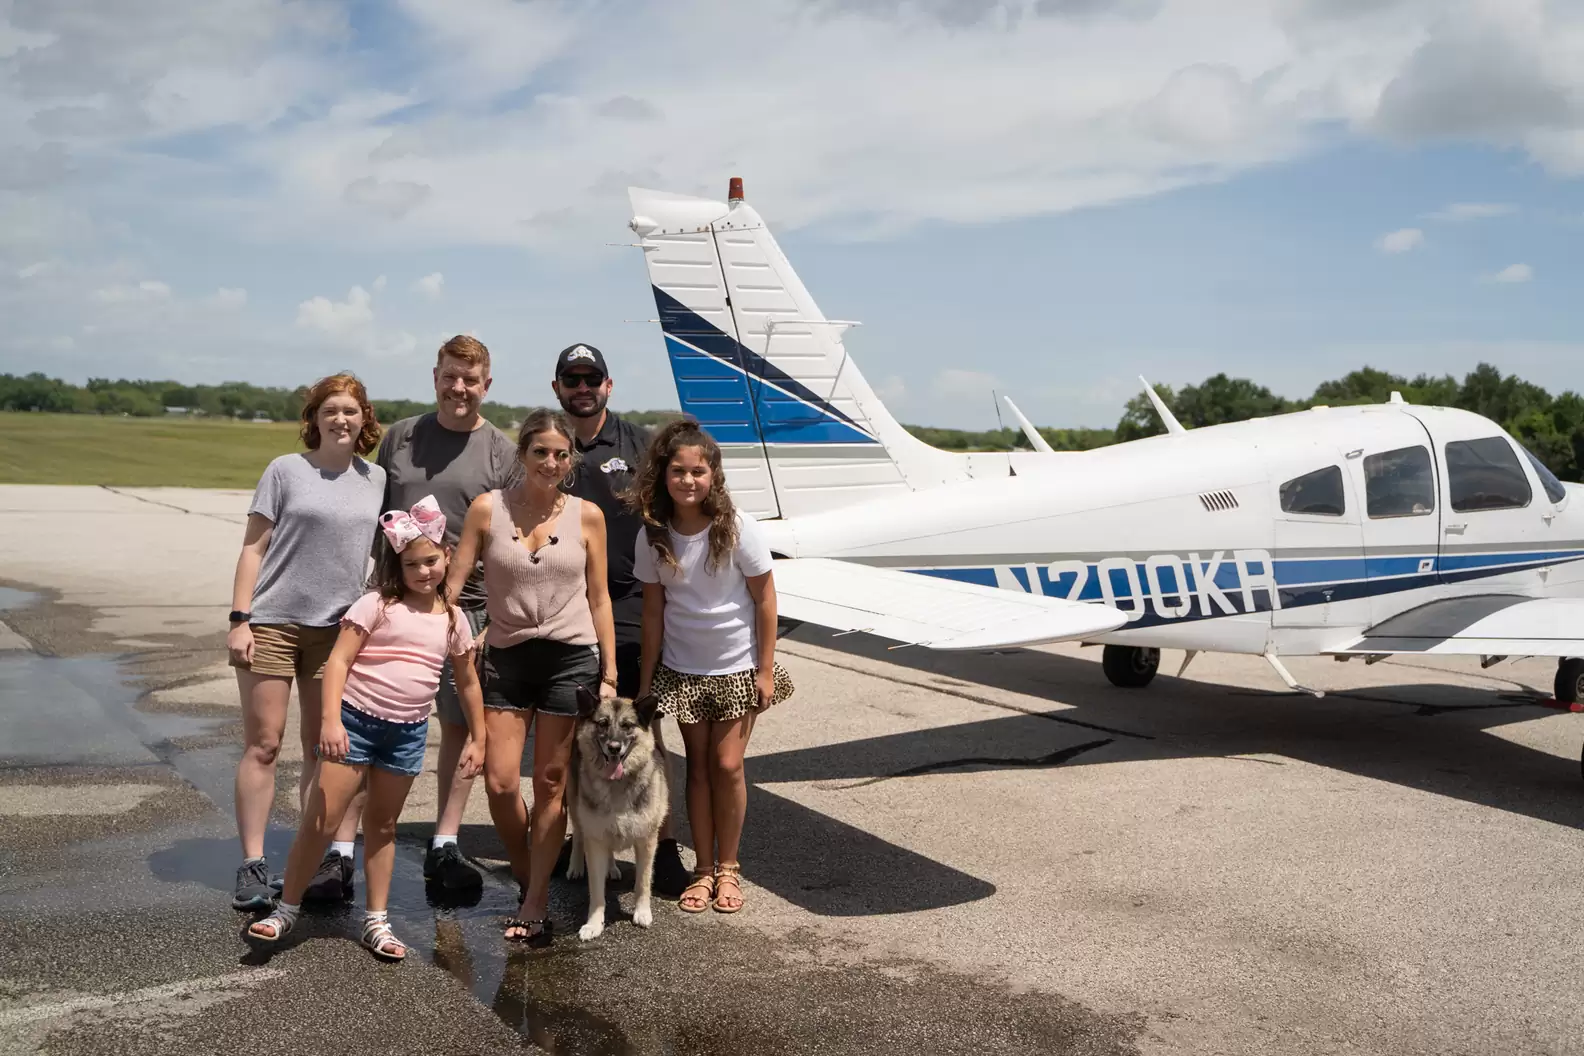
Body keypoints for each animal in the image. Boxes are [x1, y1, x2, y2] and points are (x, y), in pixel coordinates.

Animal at [570, 687, 668, 943]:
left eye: (627, 726)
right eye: (602, 724)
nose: (614, 747)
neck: (617, 784)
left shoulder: (646, 841)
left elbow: (643, 882)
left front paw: (642, 912)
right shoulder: (595, 840)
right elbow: (596, 892)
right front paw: (594, 923)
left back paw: (612, 868)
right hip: (575, 809)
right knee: (578, 835)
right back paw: (575, 865)